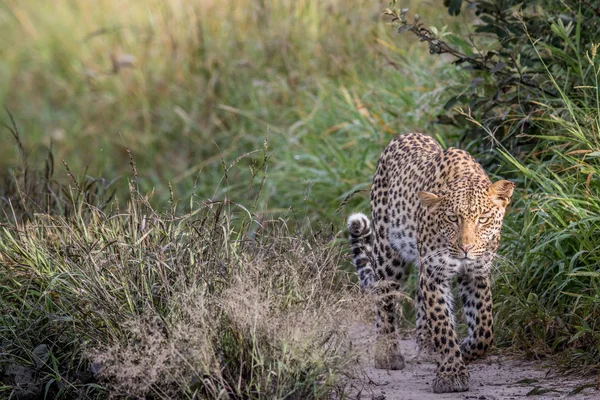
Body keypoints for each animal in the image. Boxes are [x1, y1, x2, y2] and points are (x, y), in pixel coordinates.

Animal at [346, 134, 516, 394]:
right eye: (452, 218)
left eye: (483, 219)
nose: (466, 248)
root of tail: (403, 135)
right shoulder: (435, 273)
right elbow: (442, 324)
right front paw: (451, 373)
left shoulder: (476, 273)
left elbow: (484, 329)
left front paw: (463, 351)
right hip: (388, 254)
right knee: (385, 299)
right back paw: (388, 354)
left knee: (418, 296)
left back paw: (427, 347)